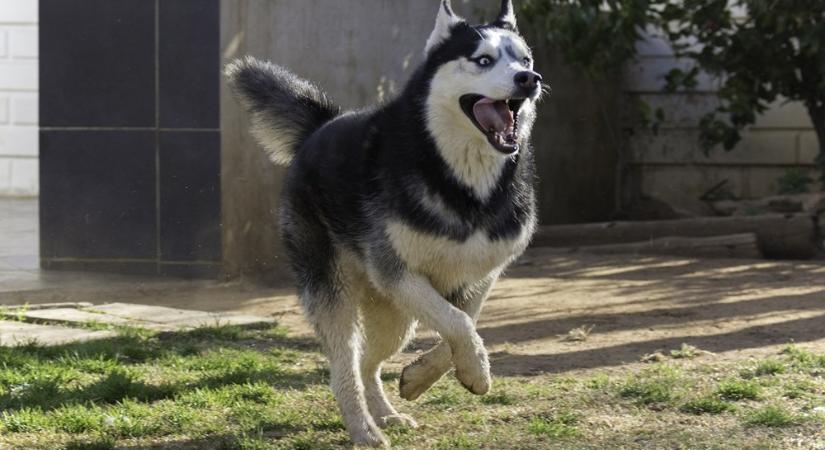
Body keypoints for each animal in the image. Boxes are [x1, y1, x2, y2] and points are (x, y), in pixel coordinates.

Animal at [227, 0, 548, 446]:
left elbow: (465, 321)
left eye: (525, 60)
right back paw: (363, 428)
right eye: (483, 60)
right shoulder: (396, 271)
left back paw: (384, 414)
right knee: (344, 366)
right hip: (336, 294)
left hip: (395, 316)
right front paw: (478, 371)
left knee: (367, 362)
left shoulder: (480, 275)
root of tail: (320, 126)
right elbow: (459, 323)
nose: (529, 79)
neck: (461, 180)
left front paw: (425, 377)